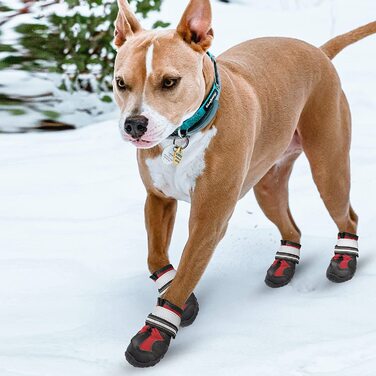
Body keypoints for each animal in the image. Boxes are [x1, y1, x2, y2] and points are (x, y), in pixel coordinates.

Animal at [111, 0, 376, 368]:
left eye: (169, 82)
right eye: (121, 83)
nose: (135, 124)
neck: (184, 135)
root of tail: (319, 51)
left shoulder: (209, 221)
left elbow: (185, 272)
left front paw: (154, 335)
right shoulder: (158, 199)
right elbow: (156, 257)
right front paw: (181, 298)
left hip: (329, 168)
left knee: (347, 215)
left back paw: (344, 261)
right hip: (268, 184)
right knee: (291, 226)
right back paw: (284, 264)